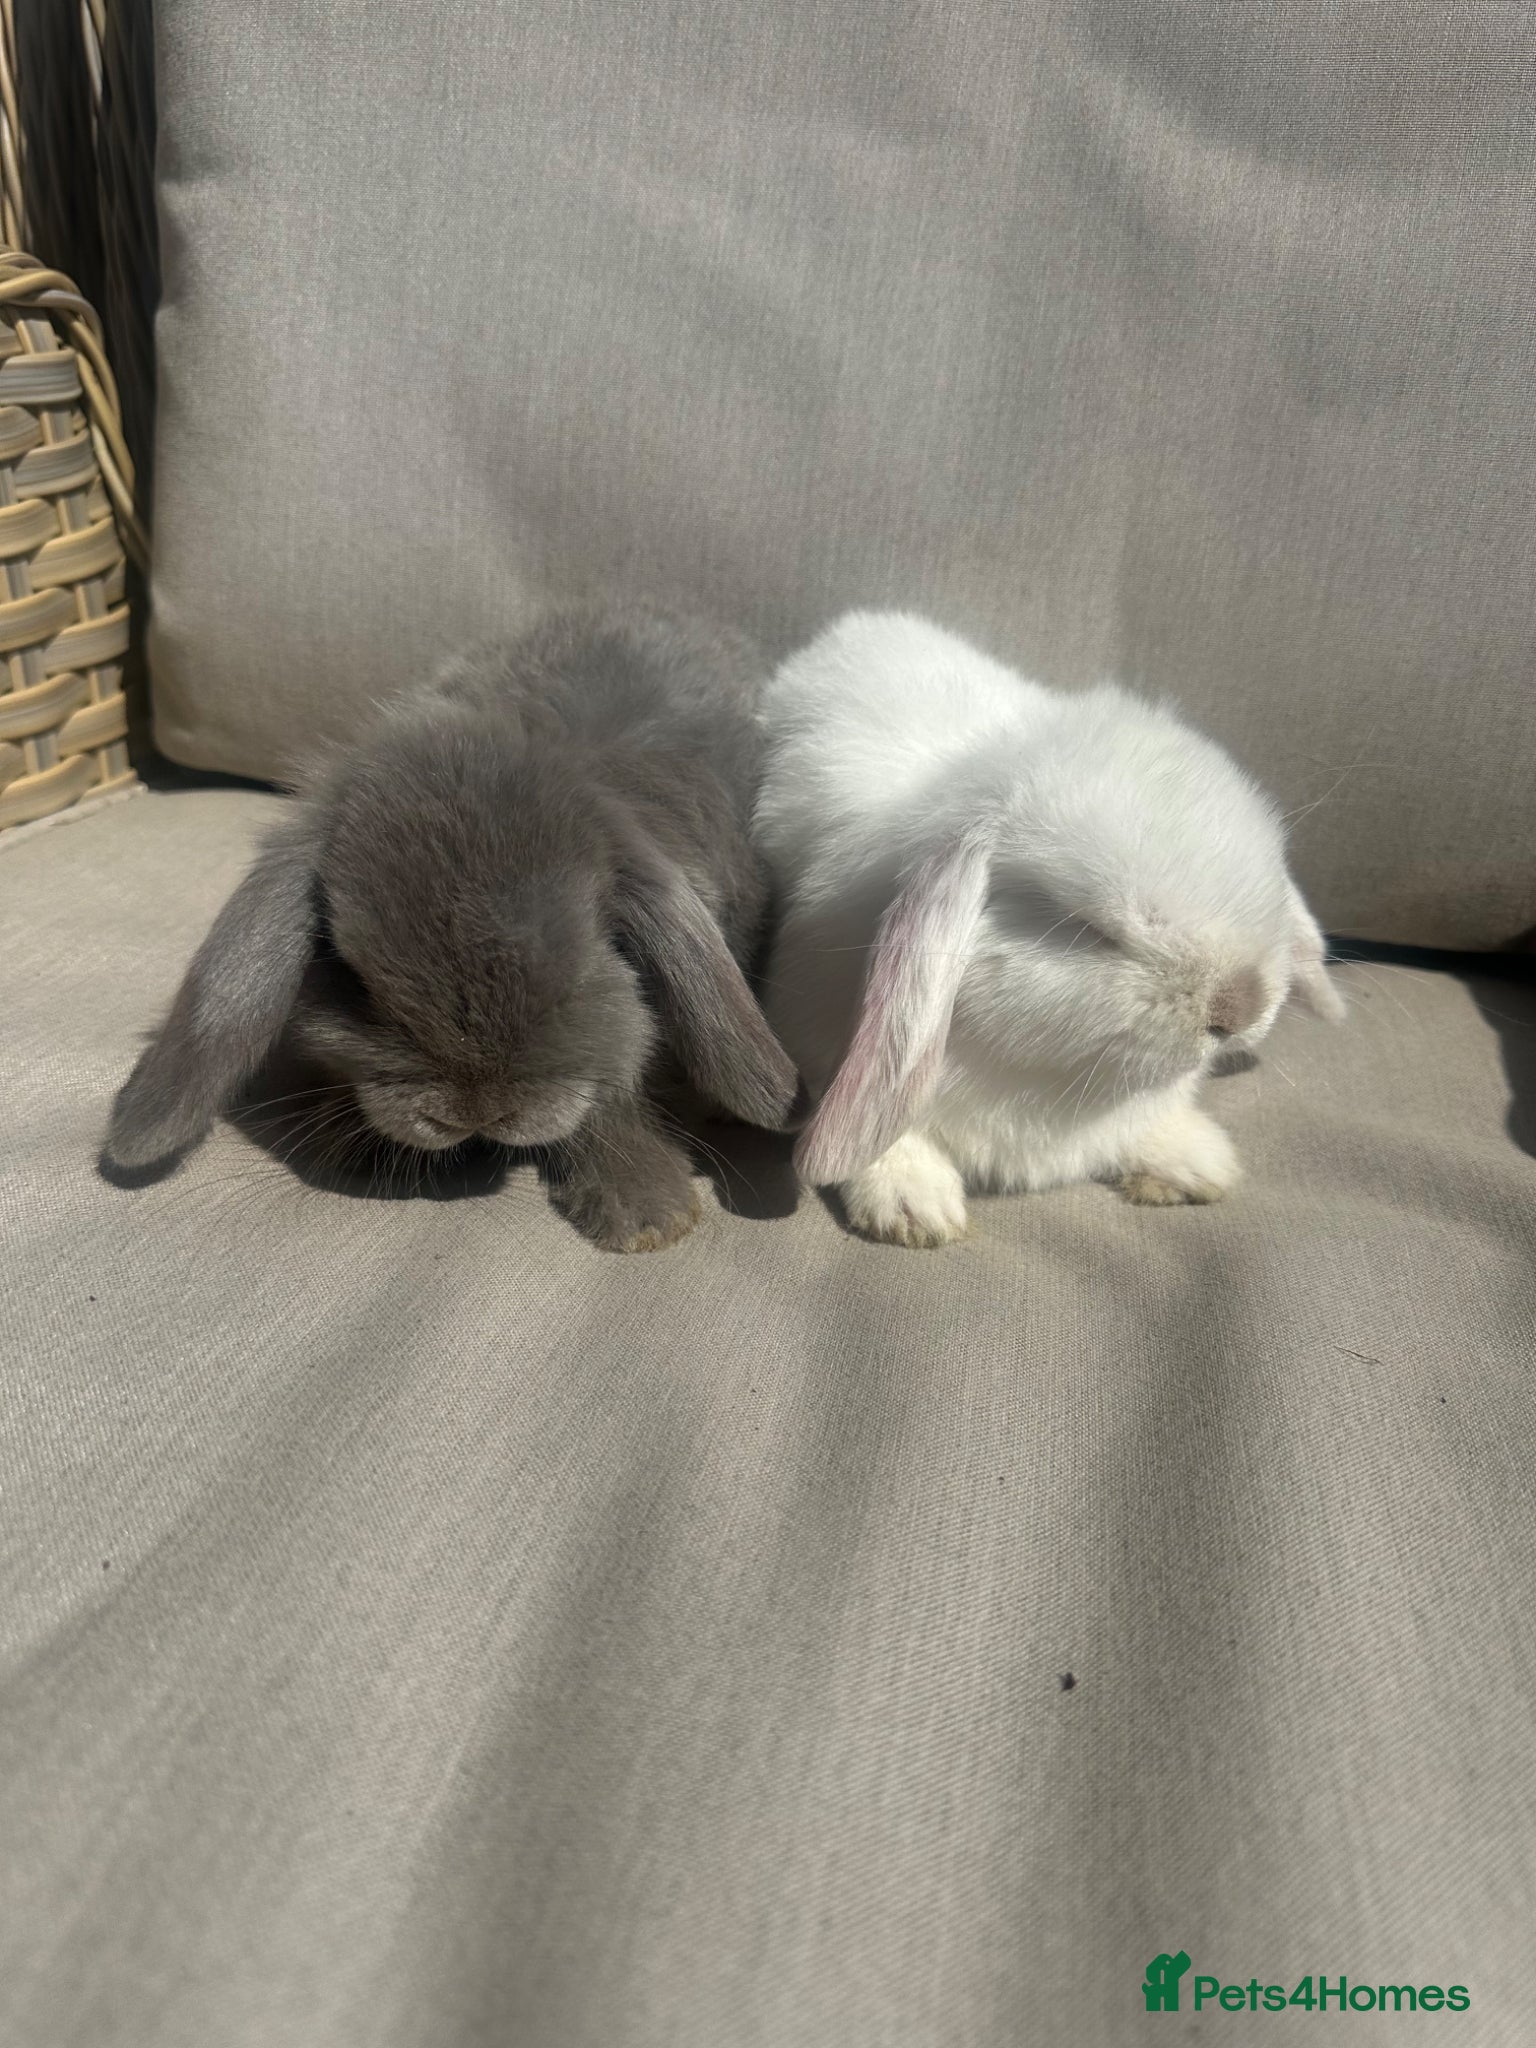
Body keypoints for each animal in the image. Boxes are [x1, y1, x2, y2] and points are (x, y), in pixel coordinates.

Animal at [105, 606, 801, 1252]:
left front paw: (647, 1215)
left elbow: (611, 1092)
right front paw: (347, 1143)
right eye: (355, 981)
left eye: (580, 976)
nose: (477, 1112)